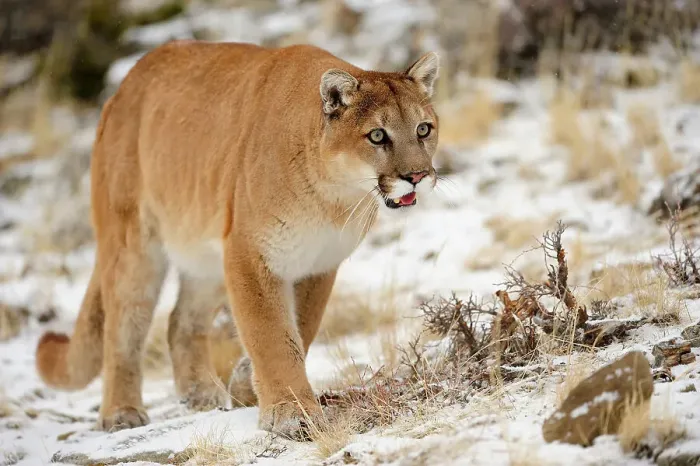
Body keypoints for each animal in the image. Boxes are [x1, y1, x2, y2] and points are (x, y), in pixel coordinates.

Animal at [35, 40, 440, 438]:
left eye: (423, 129)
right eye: (377, 135)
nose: (418, 175)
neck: (334, 196)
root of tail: (121, 88)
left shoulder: (319, 263)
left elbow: (301, 328)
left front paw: (248, 382)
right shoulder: (251, 253)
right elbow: (271, 334)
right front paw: (291, 413)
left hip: (205, 252)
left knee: (180, 323)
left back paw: (202, 394)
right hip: (134, 245)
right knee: (122, 327)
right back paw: (122, 412)